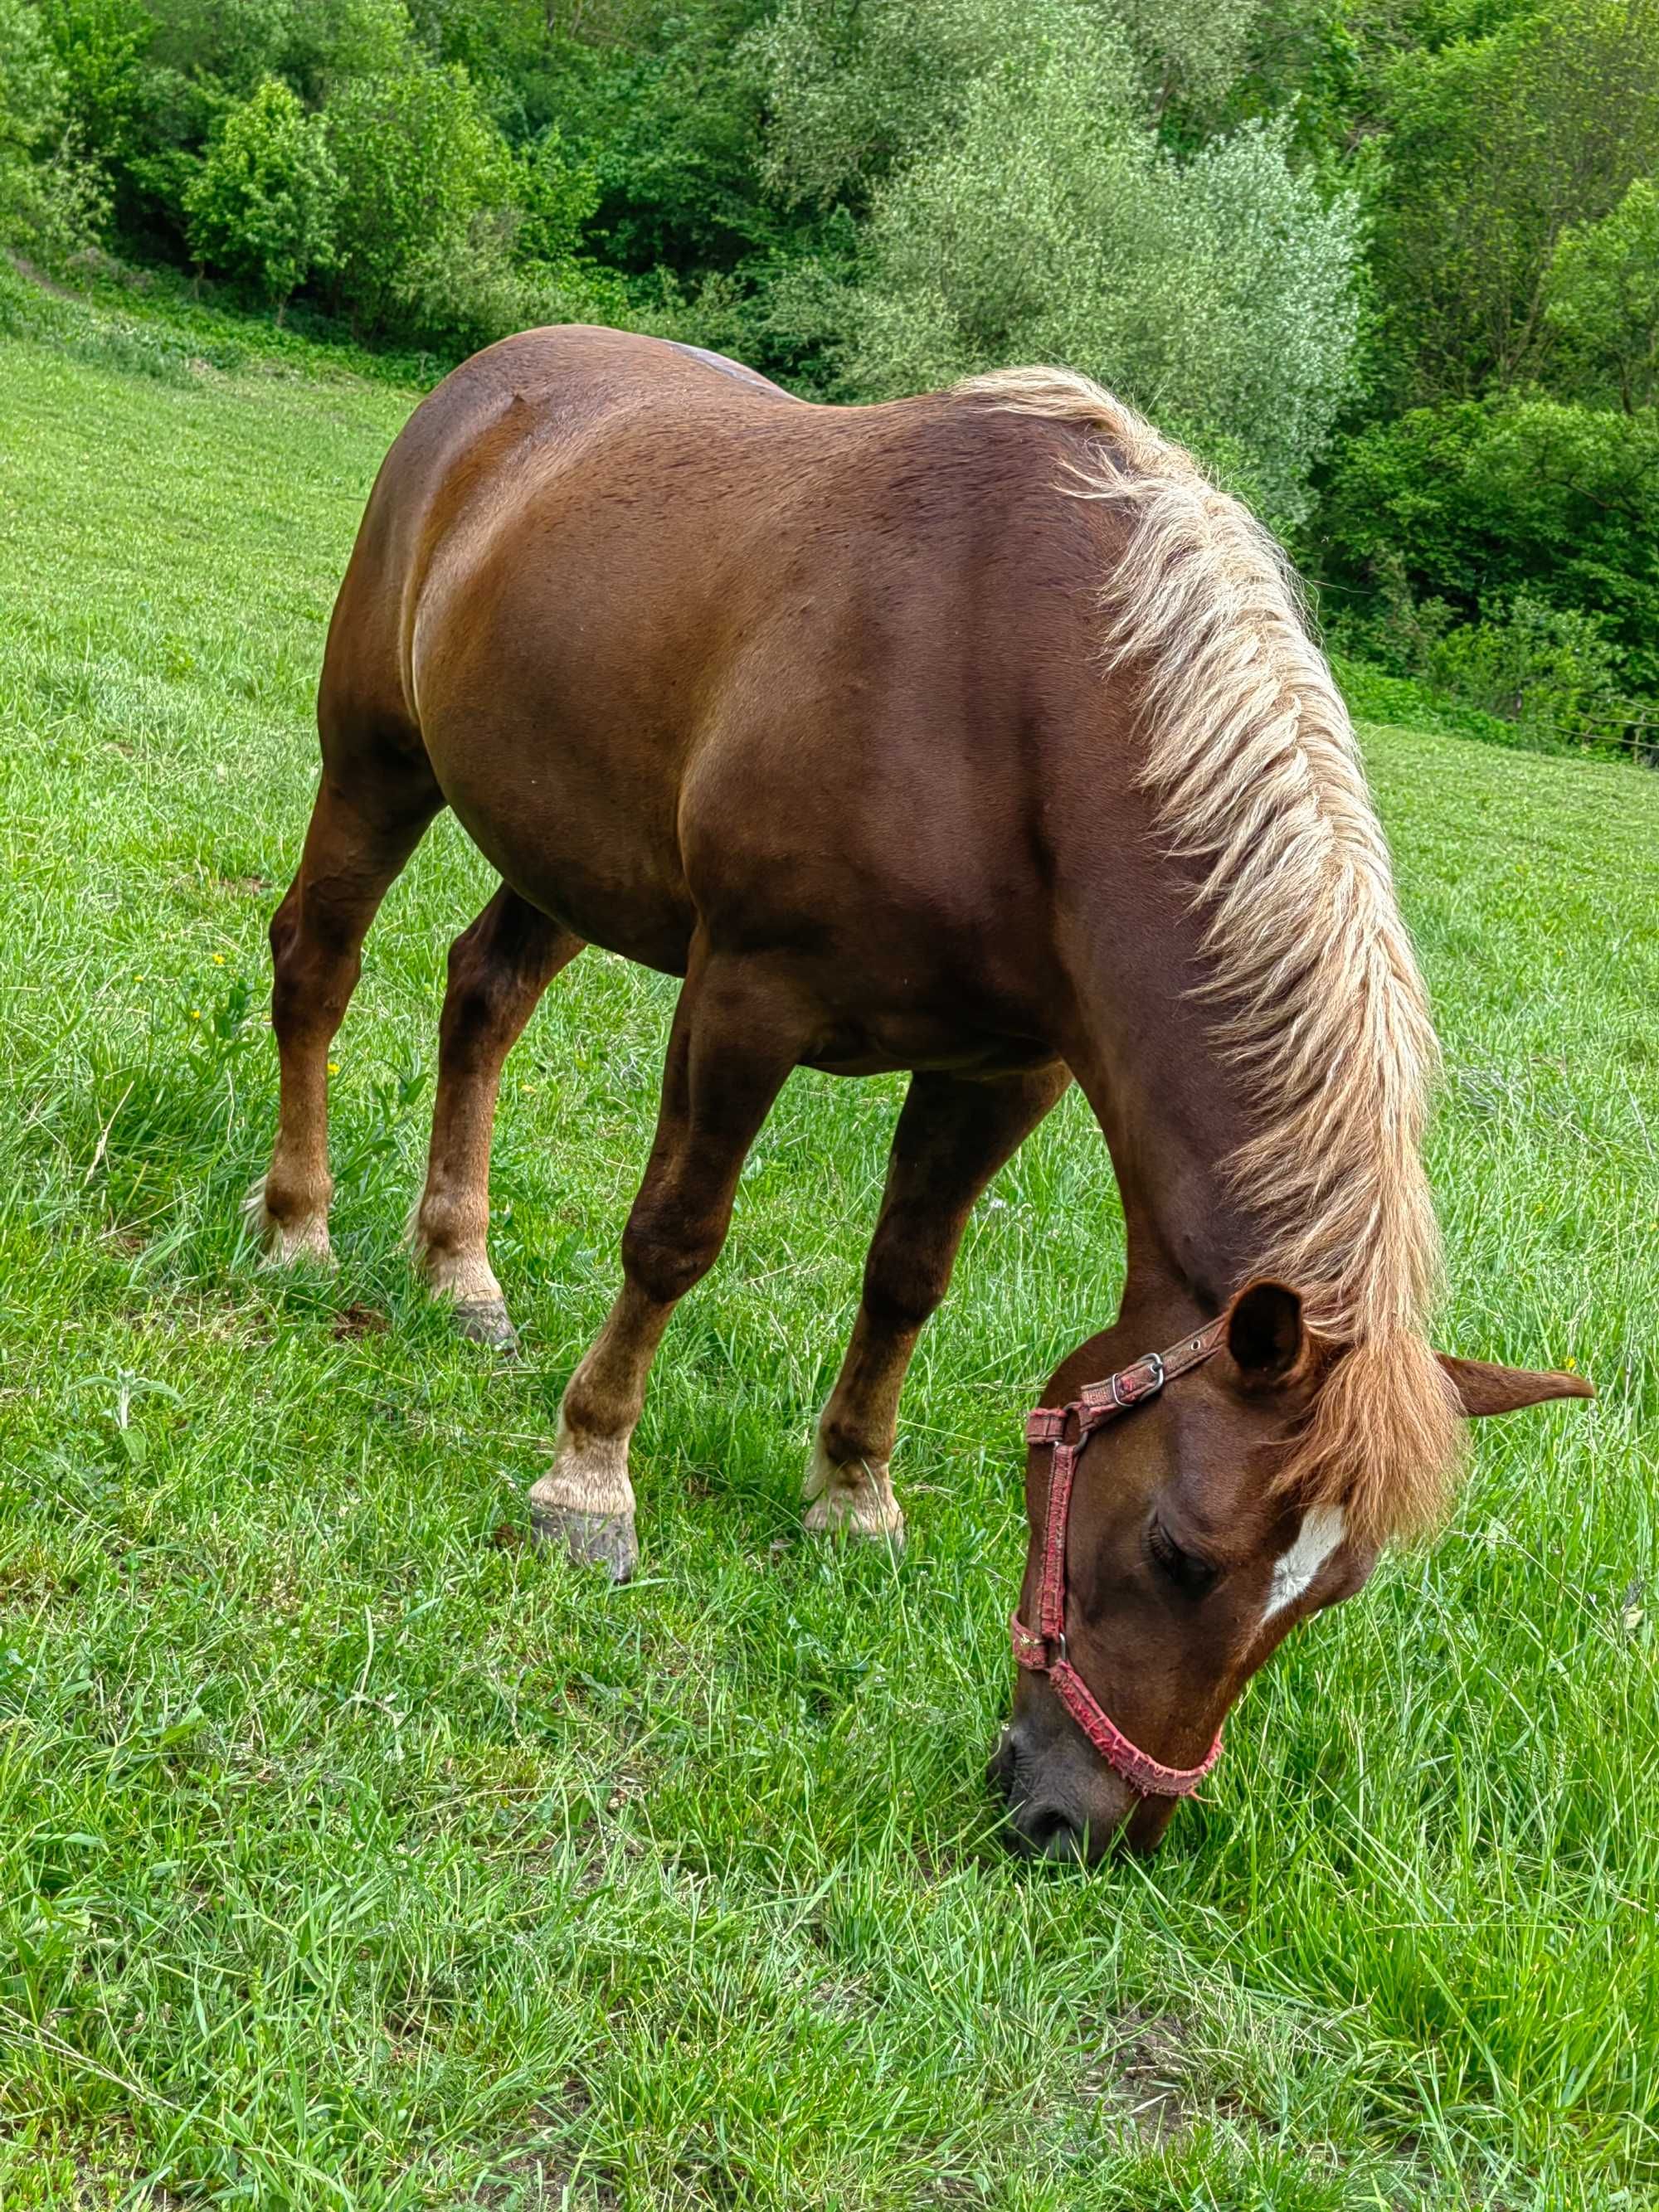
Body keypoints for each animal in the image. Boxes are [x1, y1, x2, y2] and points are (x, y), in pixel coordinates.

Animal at [250, 323, 1601, 1849]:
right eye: (1181, 1550)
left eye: (1328, 1594)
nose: (1082, 1826)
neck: (1012, 704)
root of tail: (496, 378)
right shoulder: (745, 997)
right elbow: (674, 1240)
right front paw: (589, 1480)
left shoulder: (1002, 1071)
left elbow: (906, 1279)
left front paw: (853, 1497)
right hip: (378, 759)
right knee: (319, 966)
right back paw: (297, 1223)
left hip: (562, 844)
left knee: (482, 999)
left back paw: (459, 1268)